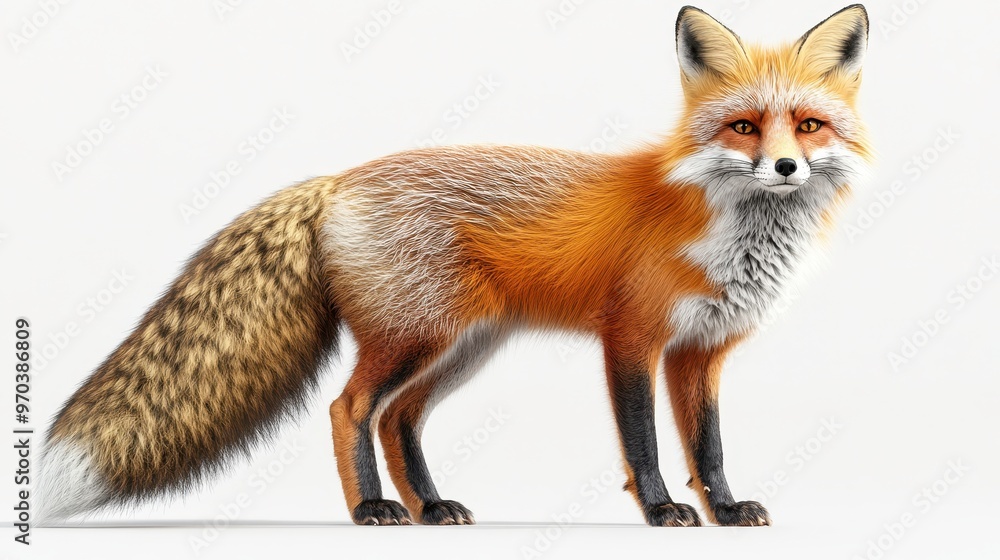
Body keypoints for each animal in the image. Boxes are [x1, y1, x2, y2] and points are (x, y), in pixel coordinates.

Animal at [38, 5, 871, 527]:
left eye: (808, 124)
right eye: (743, 127)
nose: (787, 168)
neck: (732, 231)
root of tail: (338, 179)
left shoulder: (701, 351)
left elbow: (710, 445)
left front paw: (725, 510)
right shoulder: (631, 337)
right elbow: (644, 443)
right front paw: (663, 509)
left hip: (460, 347)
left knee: (397, 419)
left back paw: (430, 508)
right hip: (417, 337)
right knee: (349, 408)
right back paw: (370, 510)